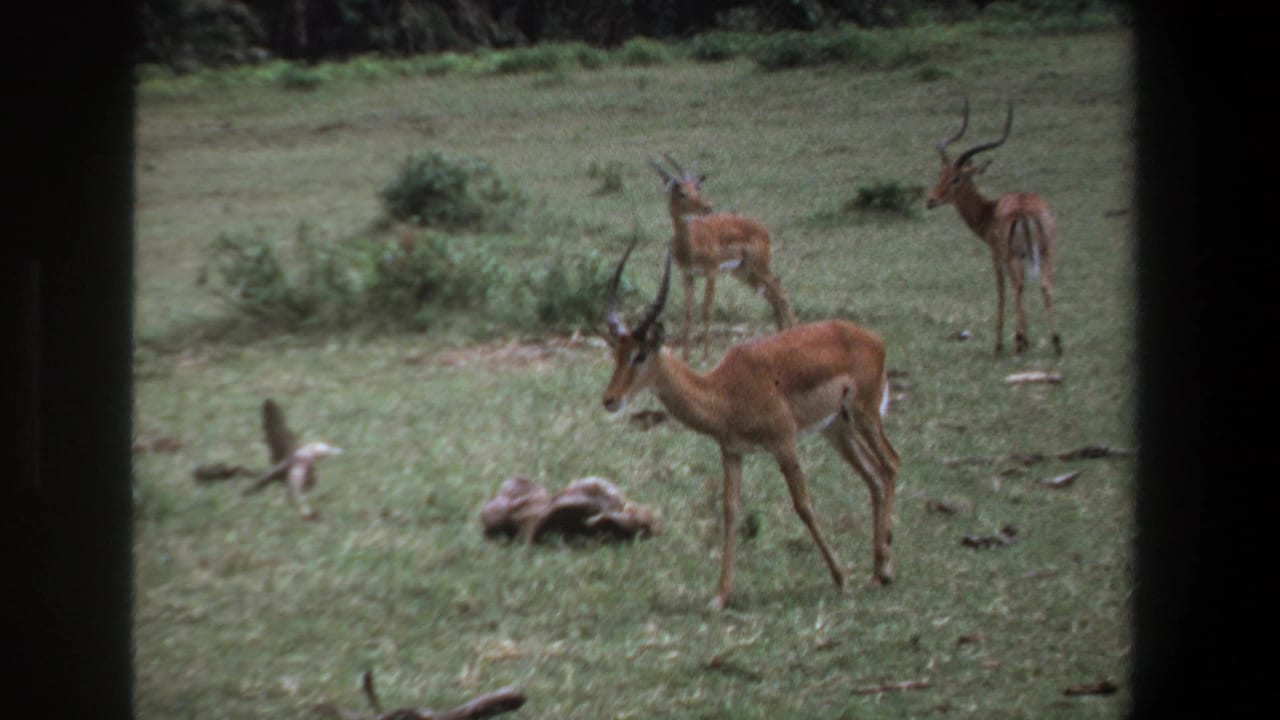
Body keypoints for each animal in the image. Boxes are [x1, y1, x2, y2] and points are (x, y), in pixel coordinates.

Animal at [600, 241, 899, 610]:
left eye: (640, 354)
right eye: (616, 353)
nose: (610, 399)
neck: (725, 391)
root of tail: (874, 340)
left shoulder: (784, 442)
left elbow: (803, 504)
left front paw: (841, 578)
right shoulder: (732, 451)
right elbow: (730, 511)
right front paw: (719, 596)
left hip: (865, 415)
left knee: (890, 464)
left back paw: (884, 570)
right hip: (837, 430)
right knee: (874, 477)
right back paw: (877, 572)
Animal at [649, 154, 796, 362]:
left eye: (697, 188)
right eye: (683, 193)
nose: (708, 206)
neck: (690, 246)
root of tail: (764, 229)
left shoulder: (711, 272)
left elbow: (706, 310)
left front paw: (705, 355)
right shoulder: (688, 275)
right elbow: (688, 313)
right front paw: (686, 355)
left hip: (758, 266)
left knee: (780, 290)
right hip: (744, 272)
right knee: (771, 294)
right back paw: (778, 336)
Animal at [926, 99, 1062, 355]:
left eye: (956, 178)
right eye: (941, 173)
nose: (931, 200)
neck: (990, 211)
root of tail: (1025, 210)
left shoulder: (996, 255)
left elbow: (1001, 291)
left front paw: (1002, 343)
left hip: (1013, 256)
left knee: (1017, 286)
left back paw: (1018, 343)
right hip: (1046, 252)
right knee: (1045, 285)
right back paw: (1057, 342)